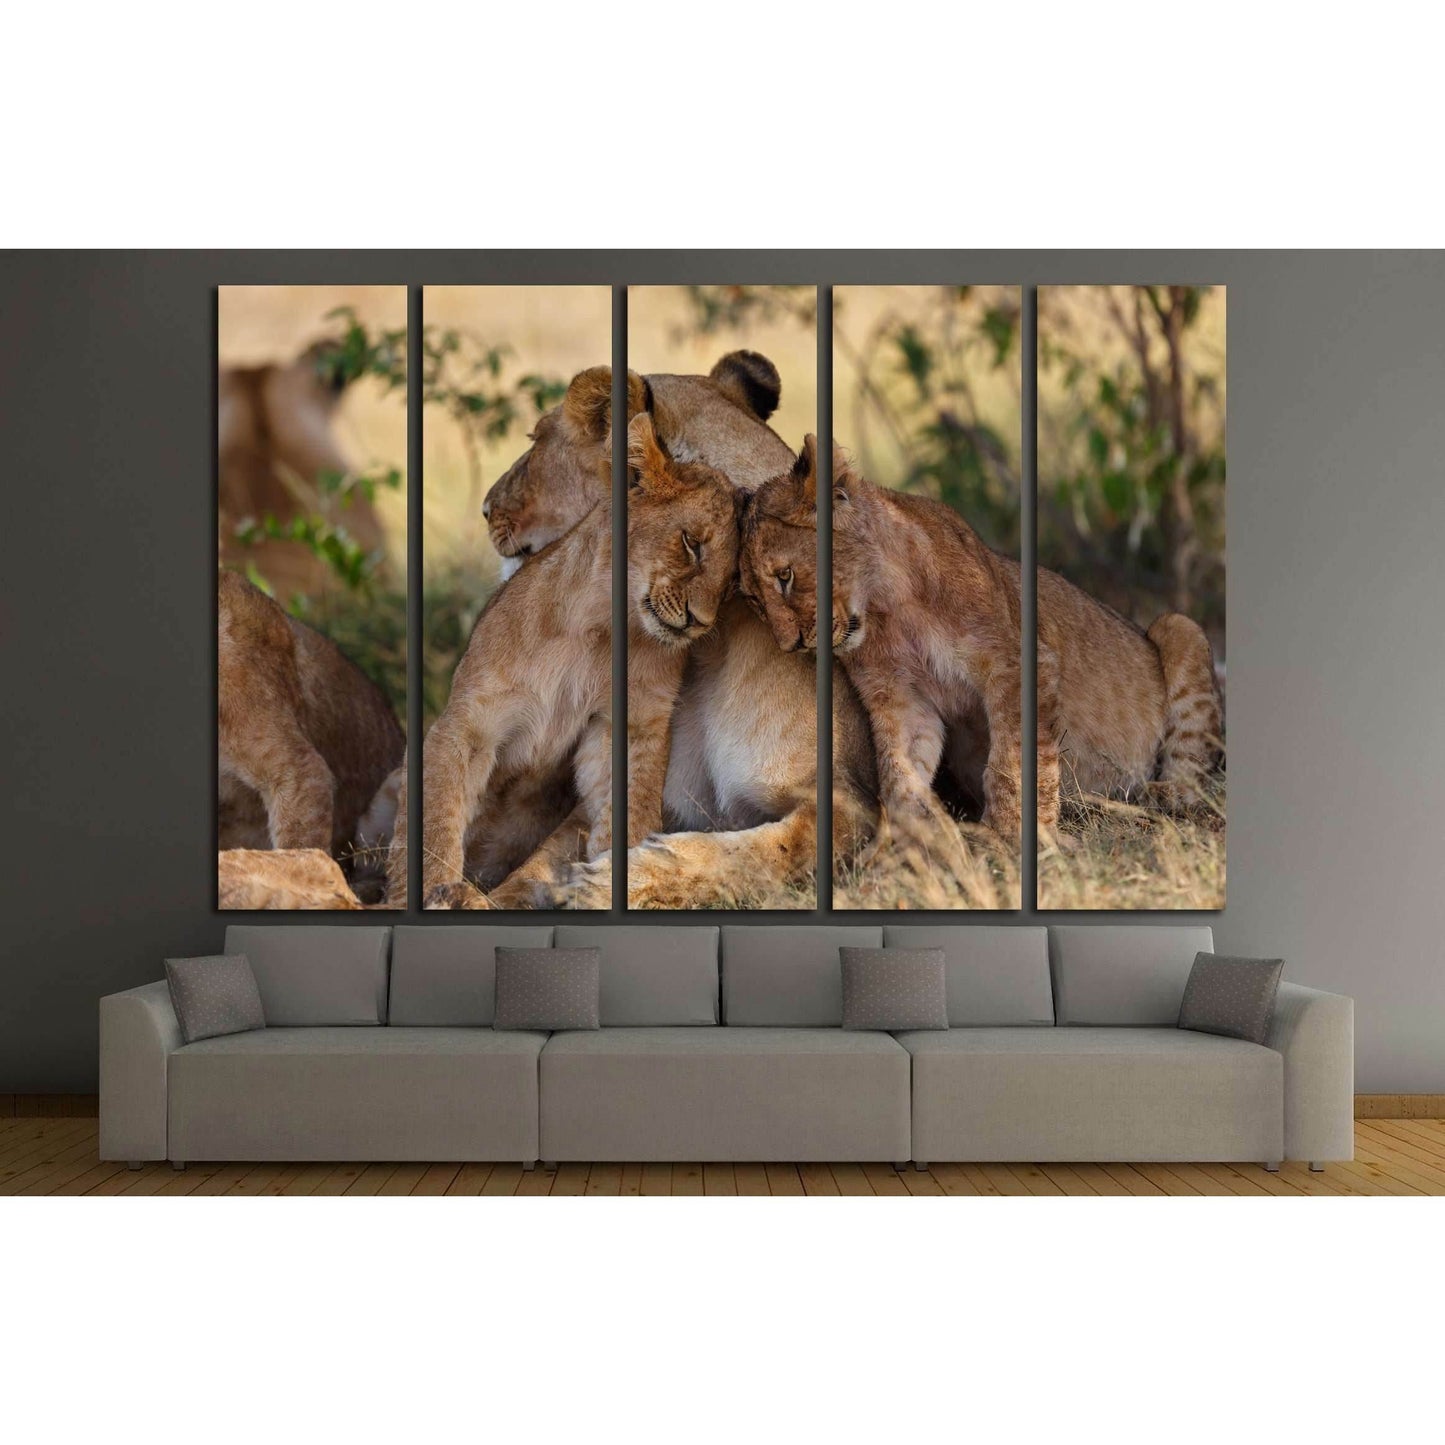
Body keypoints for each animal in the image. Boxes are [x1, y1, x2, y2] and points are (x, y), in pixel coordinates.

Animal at [414, 407, 743, 909]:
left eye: (730, 584)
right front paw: (433, 889)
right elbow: (436, 824)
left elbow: (627, 808)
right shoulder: (468, 723)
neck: (600, 624)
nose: (699, 622)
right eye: (691, 543)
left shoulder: (629, 723)